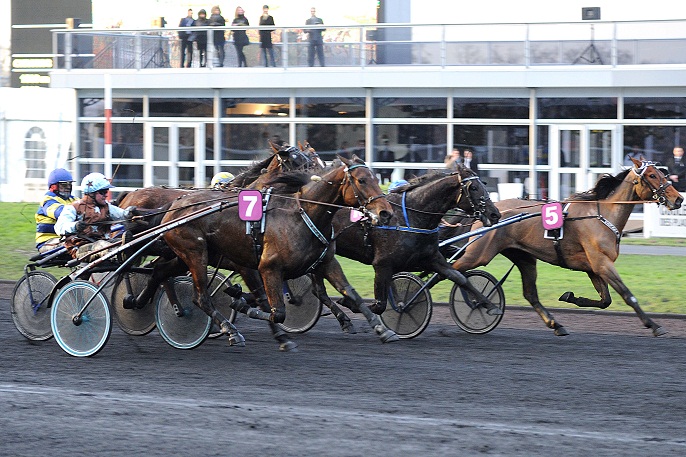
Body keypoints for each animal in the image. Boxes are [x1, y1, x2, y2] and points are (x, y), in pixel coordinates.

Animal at [141, 156, 392, 350]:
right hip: (195, 253)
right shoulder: (267, 267)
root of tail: (175, 204)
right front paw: (243, 306)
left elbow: (351, 293)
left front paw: (381, 329)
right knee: (200, 297)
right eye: (361, 180)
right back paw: (230, 330)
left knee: (160, 270)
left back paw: (138, 300)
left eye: (376, 178)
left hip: (185, 256)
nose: (386, 212)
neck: (302, 215)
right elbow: (276, 310)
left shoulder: (326, 262)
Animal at [320, 166, 502, 330]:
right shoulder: (382, 264)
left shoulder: (431, 258)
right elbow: (380, 304)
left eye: (483, 184)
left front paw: (490, 305)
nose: (495, 214)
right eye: (474, 187)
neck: (409, 217)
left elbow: (459, 277)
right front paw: (349, 302)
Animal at [446, 159, 684, 336]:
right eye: (652, 175)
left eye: (662, 173)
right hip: (480, 253)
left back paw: (555, 324)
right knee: (453, 271)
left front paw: (570, 297)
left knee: (530, 294)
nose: (679, 198)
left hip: (524, 257)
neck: (601, 215)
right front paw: (654, 325)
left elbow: (605, 300)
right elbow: (627, 295)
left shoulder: (593, 267)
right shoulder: (602, 263)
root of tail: (485, 213)